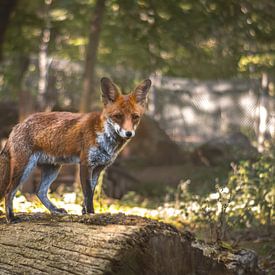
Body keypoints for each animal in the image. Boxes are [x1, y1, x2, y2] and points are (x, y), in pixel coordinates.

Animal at [0, 77, 151, 222]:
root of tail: (17, 125)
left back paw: (55, 211)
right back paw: (11, 218)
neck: (105, 138)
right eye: (118, 116)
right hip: (24, 168)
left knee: (40, 191)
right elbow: (88, 194)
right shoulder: (85, 164)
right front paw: (91, 215)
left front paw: (85, 213)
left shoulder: (99, 168)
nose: (129, 133)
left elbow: (89, 193)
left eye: (135, 117)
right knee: (9, 192)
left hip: (53, 168)